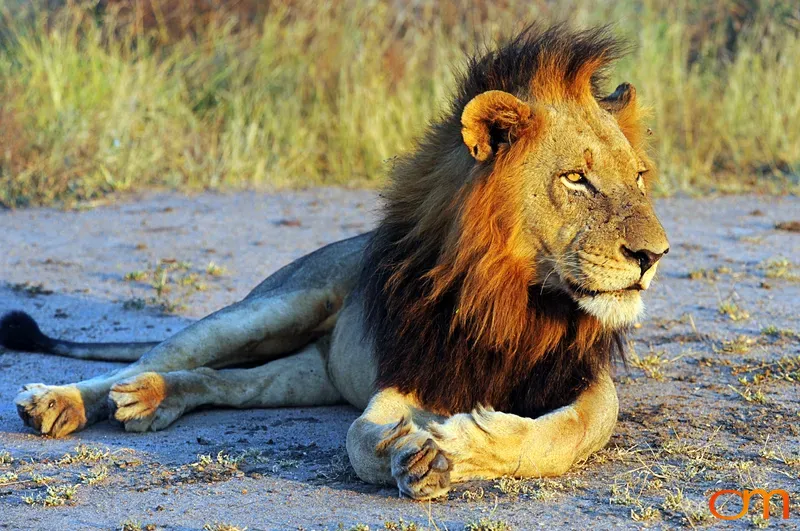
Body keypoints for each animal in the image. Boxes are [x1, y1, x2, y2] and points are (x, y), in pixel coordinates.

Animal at [0, 25, 668, 500]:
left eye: (639, 177)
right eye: (576, 179)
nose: (654, 256)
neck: (513, 298)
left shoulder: (585, 380)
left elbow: (564, 434)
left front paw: (464, 441)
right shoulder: (406, 373)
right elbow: (357, 437)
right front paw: (413, 451)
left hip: (306, 373)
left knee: (220, 380)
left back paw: (152, 401)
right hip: (271, 308)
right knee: (152, 357)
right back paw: (61, 401)